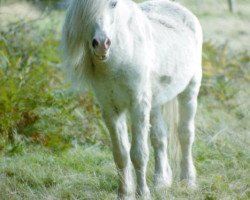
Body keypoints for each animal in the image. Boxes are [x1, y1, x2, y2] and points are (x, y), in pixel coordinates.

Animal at [62, 0, 203, 198]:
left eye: (113, 4)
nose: (102, 44)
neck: (121, 58)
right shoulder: (111, 110)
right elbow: (121, 154)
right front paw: (124, 193)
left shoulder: (138, 106)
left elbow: (138, 153)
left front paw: (142, 193)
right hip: (156, 103)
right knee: (159, 138)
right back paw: (160, 182)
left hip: (190, 91)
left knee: (185, 135)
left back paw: (187, 181)